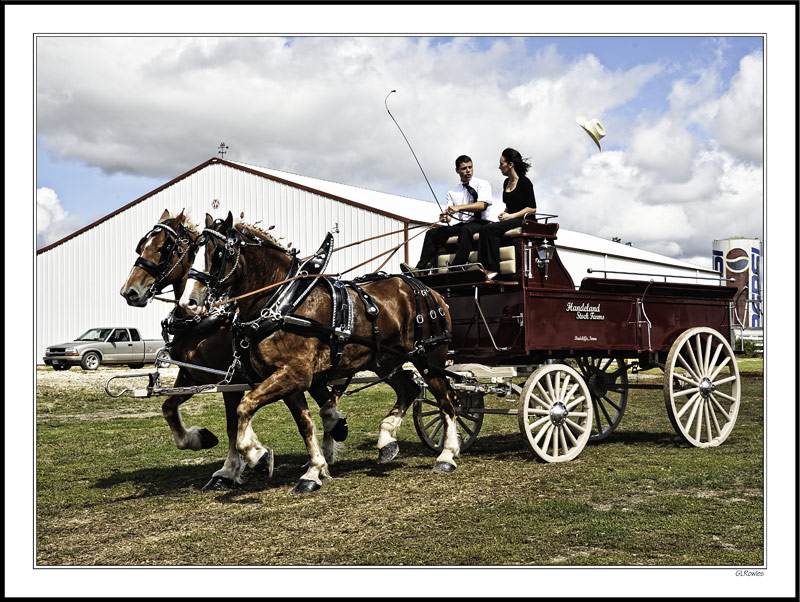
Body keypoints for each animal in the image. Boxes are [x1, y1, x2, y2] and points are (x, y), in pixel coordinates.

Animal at [119, 209, 346, 490]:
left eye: (165, 247)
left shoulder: (233, 380)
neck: (206, 321)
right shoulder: (194, 376)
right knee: (326, 403)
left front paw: (235, 467)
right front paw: (200, 439)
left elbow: (232, 425)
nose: (129, 292)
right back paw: (326, 451)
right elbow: (169, 408)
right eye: (141, 246)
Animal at [177, 211, 460, 492]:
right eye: (192, 252)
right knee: (408, 389)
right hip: (385, 361)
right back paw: (386, 440)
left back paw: (446, 456)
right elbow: (305, 424)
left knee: (446, 399)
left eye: (218, 253)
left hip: (428, 357)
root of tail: (427, 288)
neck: (282, 302)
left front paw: (258, 455)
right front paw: (313, 470)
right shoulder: (288, 379)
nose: (188, 302)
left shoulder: (295, 374)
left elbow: (244, 407)